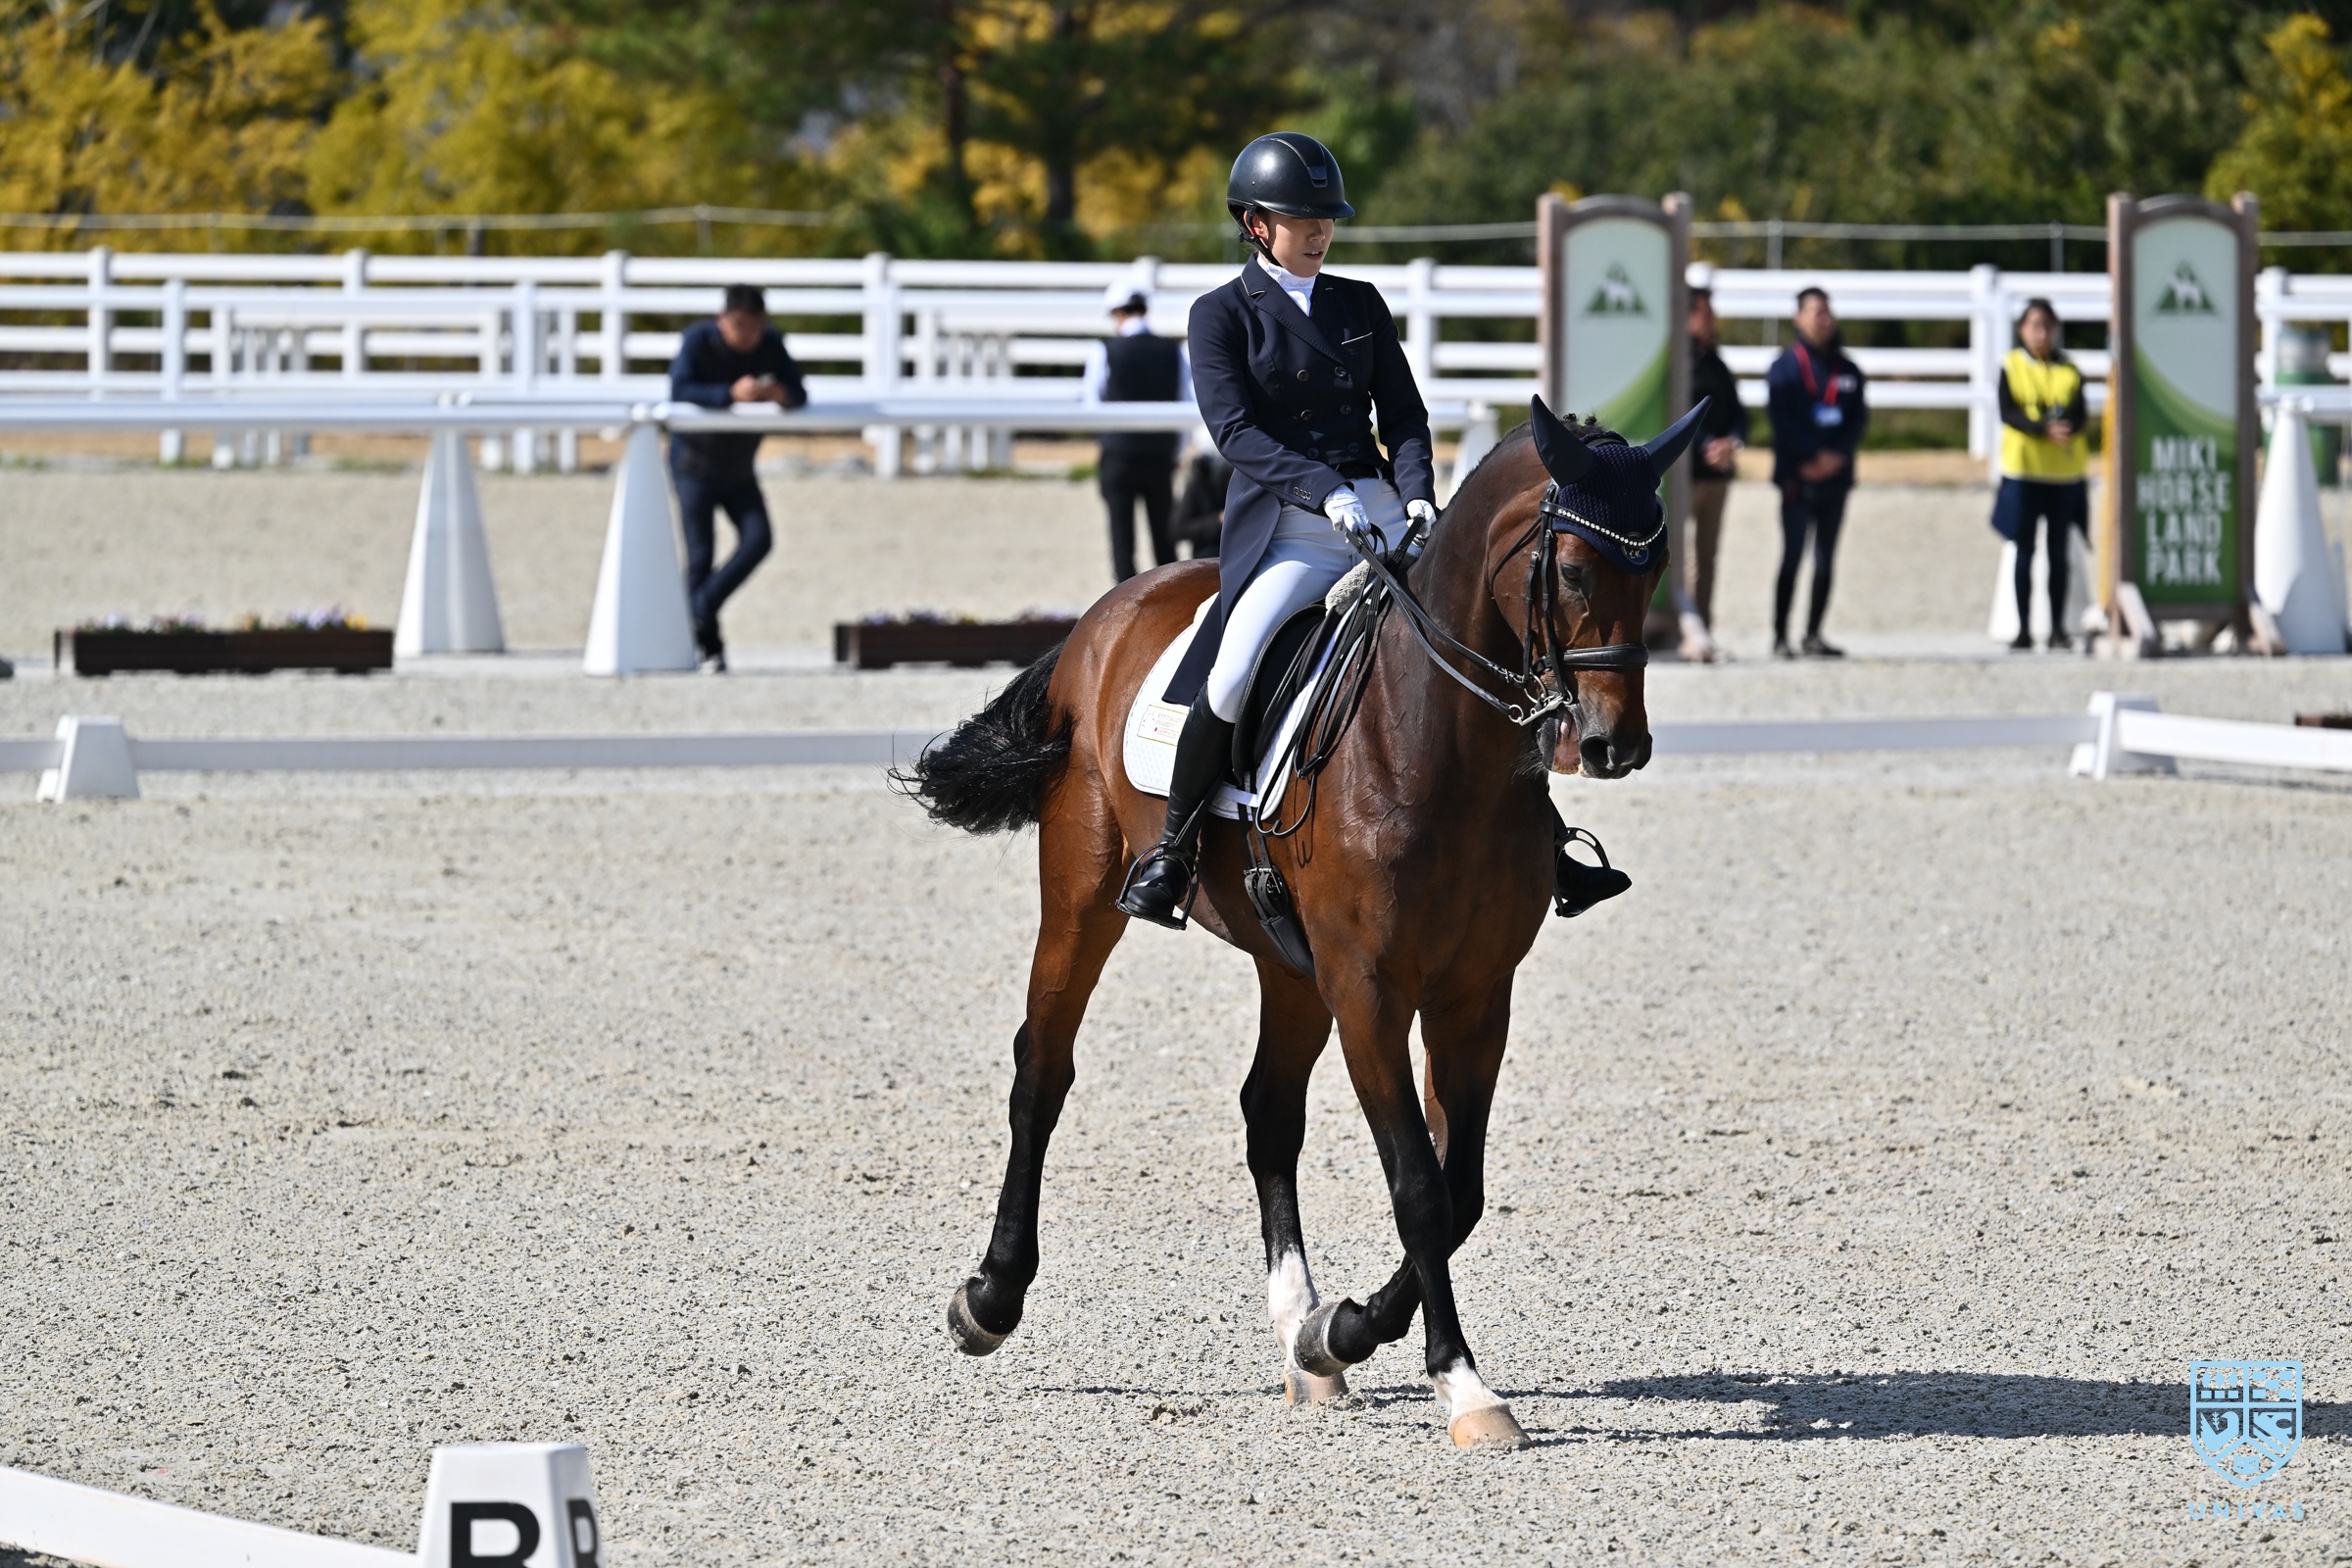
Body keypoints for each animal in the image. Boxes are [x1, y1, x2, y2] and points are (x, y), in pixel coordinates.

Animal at [898, 398, 1692, 1447]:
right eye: (1568, 568)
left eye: (1657, 563)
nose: (1613, 745)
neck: (1440, 749)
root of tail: (1106, 614)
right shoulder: (1371, 992)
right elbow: (1420, 1189)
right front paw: (1462, 1384)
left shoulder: (1476, 996)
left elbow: (1462, 1190)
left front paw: (1340, 1331)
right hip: (1082, 892)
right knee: (1044, 1069)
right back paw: (990, 1298)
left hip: (1292, 968)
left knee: (1267, 1112)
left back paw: (1299, 1333)